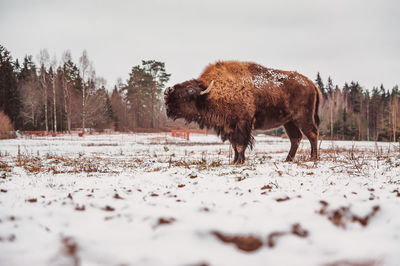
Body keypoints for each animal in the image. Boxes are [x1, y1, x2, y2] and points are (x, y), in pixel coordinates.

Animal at [164, 61, 320, 163]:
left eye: (190, 90)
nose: (167, 91)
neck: (212, 93)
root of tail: (311, 84)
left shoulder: (242, 123)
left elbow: (240, 145)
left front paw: (239, 161)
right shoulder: (230, 127)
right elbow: (234, 145)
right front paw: (235, 161)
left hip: (303, 118)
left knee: (312, 134)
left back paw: (313, 157)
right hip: (289, 122)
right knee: (296, 138)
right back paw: (288, 159)